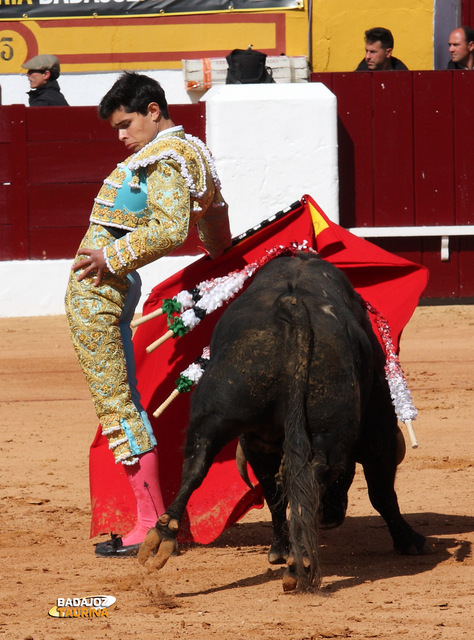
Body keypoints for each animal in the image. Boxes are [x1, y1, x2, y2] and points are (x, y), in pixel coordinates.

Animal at [139, 251, 432, 592]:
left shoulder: (258, 440)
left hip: (221, 405)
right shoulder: (379, 432)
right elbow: (382, 494)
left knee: (198, 462)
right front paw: (409, 540)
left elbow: (272, 491)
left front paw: (278, 549)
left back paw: (163, 537)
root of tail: (291, 304)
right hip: (331, 424)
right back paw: (299, 562)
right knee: (315, 472)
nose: (330, 518)